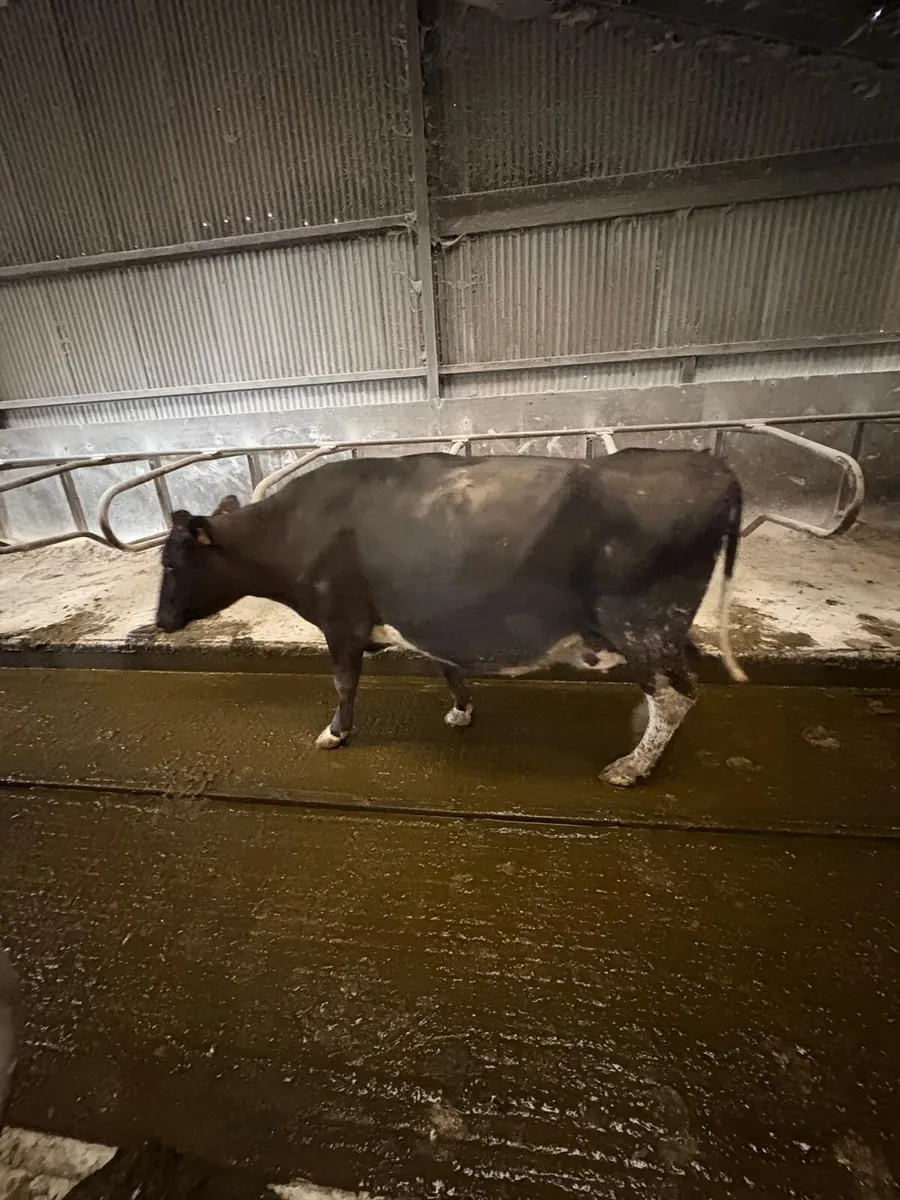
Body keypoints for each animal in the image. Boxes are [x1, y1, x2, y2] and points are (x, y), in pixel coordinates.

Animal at [155, 449, 746, 787]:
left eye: (170, 561)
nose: (159, 621)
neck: (295, 528)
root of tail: (712, 464)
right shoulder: (430, 614)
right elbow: (447, 665)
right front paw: (462, 712)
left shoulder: (341, 619)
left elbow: (345, 682)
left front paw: (335, 734)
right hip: (664, 627)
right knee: (678, 683)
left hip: (641, 625)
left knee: (676, 694)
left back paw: (631, 767)